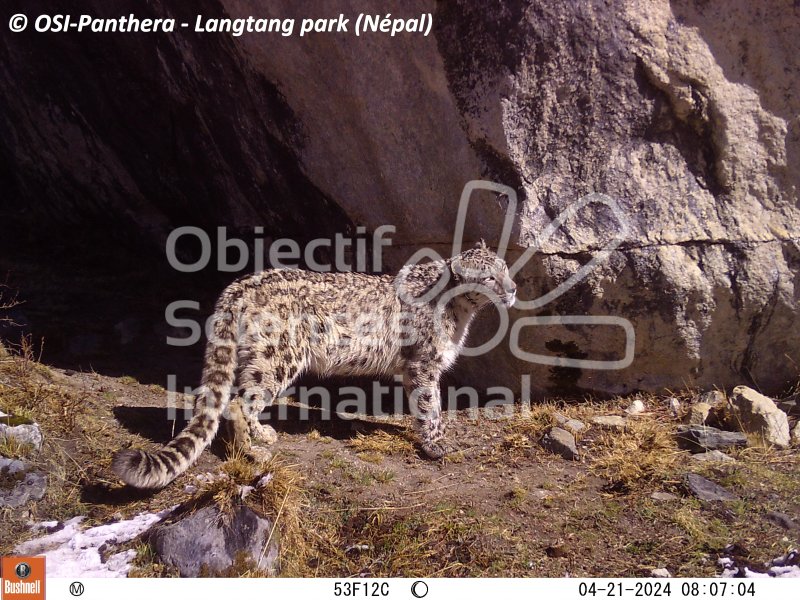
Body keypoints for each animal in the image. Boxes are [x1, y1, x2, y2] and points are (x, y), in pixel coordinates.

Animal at [112, 241, 516, 490]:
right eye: (489, 276)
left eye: (506, 268)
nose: (512, 289)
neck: (461, 314)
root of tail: (239, 286)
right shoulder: (424, 364)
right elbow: (430, 405)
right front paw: (436, 444)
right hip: (278, 359)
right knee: (239, 402)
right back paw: (253, 450)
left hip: (255, 356)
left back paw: (262, 436)